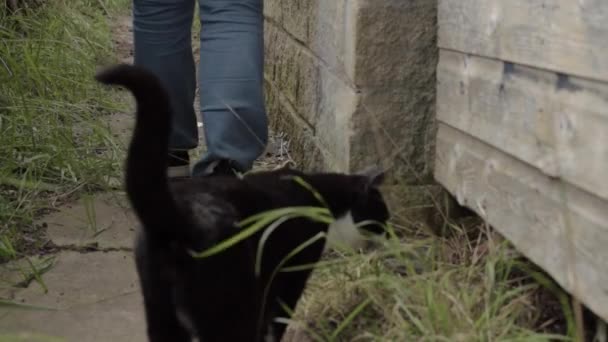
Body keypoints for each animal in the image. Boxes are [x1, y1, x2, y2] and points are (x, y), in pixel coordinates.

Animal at [94, 65, 390, 342]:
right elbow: (276, 322)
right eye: (382, 220)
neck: (323, 196)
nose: (390, 239)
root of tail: (177, 217)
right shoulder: (292, 272)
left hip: (158, 306)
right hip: (231, 299)